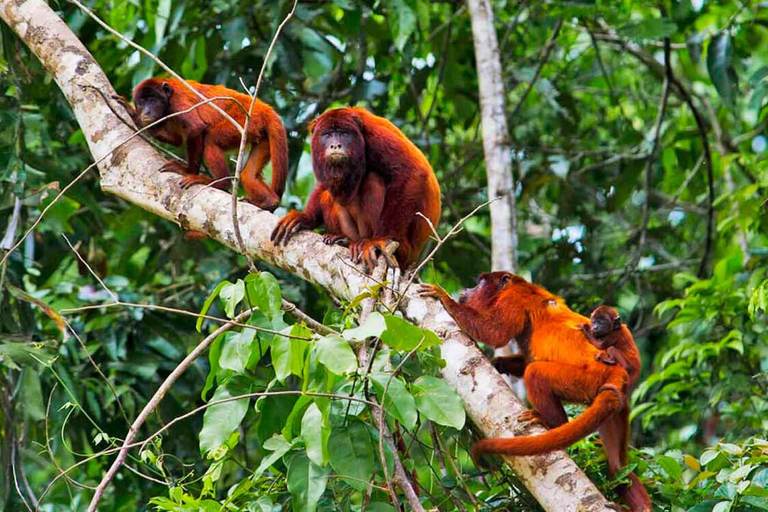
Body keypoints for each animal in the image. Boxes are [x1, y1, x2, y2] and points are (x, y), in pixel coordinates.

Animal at [121, 76, 290, 212]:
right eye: (141, 103)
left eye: (152, 100)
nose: (146, 112)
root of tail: (265, 108)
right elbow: (177, 139)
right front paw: (135, 116)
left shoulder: (179, 101)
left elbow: (196, 128)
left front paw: (187, 171)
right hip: (260, 134)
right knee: (248, 175)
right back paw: (269, 202)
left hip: (246, 120)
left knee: (211, 139)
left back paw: (220, 184)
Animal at [272, 107, 440, 272]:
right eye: (328, 135)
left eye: (343, 134)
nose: (335, 145)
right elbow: (324, 186)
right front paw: (306, 217)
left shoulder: (374, 137)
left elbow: (412, 172)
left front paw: (381, 239)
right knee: (329, 194)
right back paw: (342, 238)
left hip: (404, 249)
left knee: (372, 179)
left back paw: (367, 241)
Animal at [416, 274, 652, 512]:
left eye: (480, 283)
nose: (467, 289)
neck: (516, 285)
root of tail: (616, 371)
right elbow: (523, 356)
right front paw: (498, 363)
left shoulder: (513, 299)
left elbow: (495, 332)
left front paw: (443, 296)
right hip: (616, 407)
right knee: (618, 467)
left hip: (586, 379)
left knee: (535, 373)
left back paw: (551, 420)